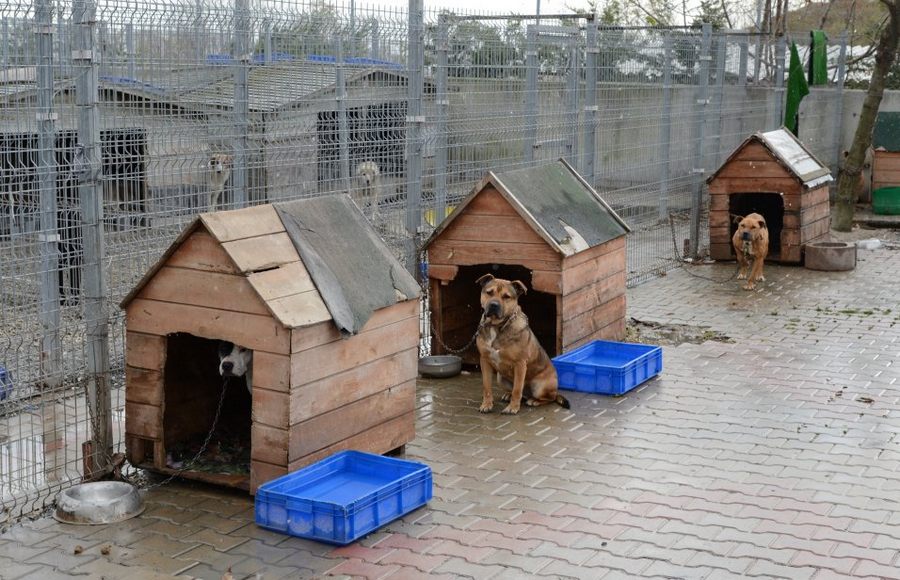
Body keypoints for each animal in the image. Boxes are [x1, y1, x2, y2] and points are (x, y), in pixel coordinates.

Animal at [472, 274, 568, 414]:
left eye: (506, 296)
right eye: (489, 292)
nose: (494, 305)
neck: (497, 326)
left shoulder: (520, 364)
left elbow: (517, 389)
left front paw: (513, 408)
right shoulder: (484, 360)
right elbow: (487, 386)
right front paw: (487, 404)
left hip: (540, 386)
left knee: (549, 398)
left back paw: (534, 401)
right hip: (500, 378)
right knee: (520, 393)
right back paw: (509, 395)